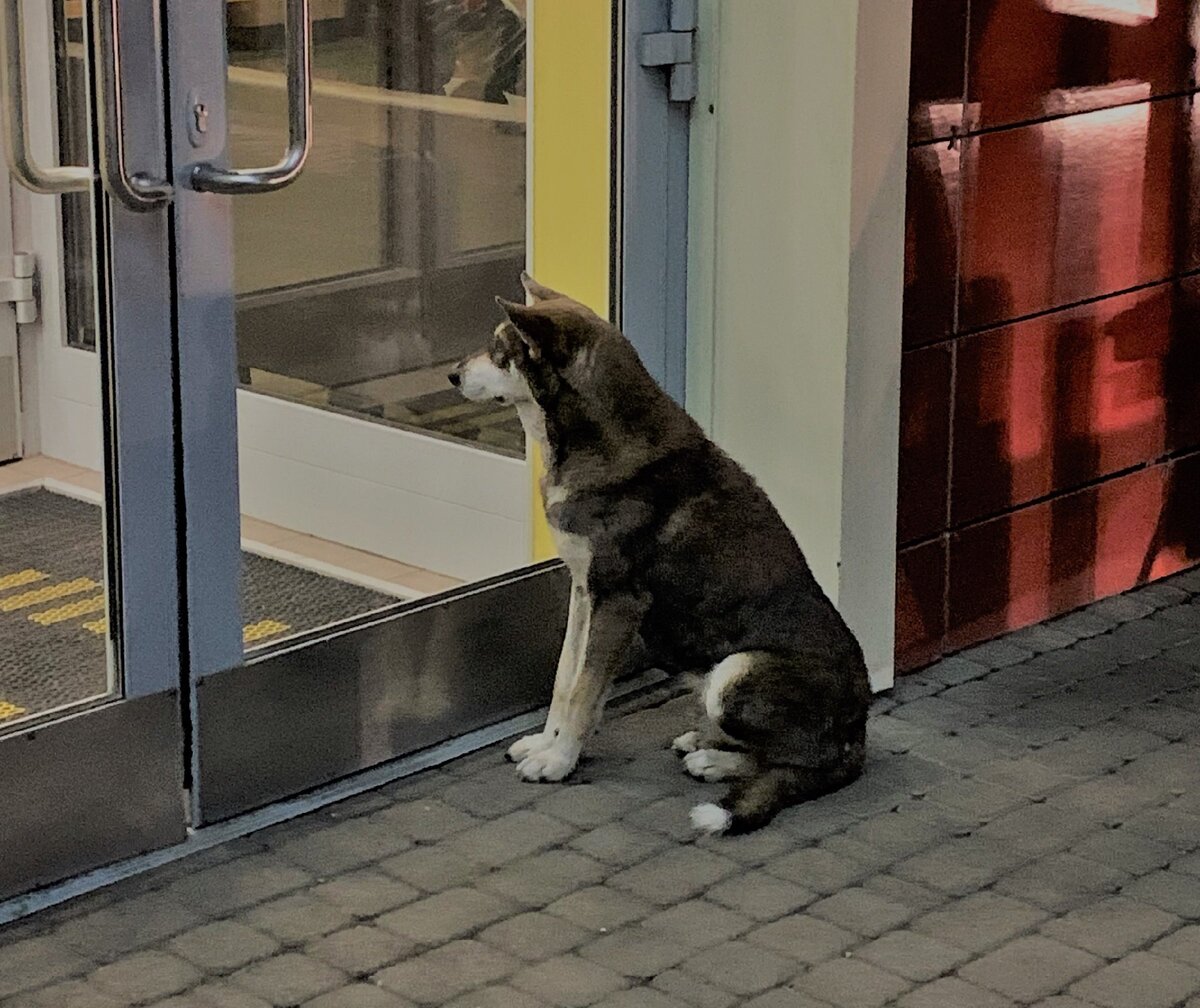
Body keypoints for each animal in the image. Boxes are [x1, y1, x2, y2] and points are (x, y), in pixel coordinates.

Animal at [446, 276, 868, 835]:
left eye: (501, 351)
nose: (451, 374)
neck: (596, 439)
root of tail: (859, 731)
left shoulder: (618, 601)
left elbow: (583, 692)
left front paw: (558, 762)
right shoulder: (585, 593)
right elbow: (565, 680)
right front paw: (545, 743)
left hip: (735, 673)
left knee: (797, 761)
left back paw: (715, 760)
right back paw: (706, 743)